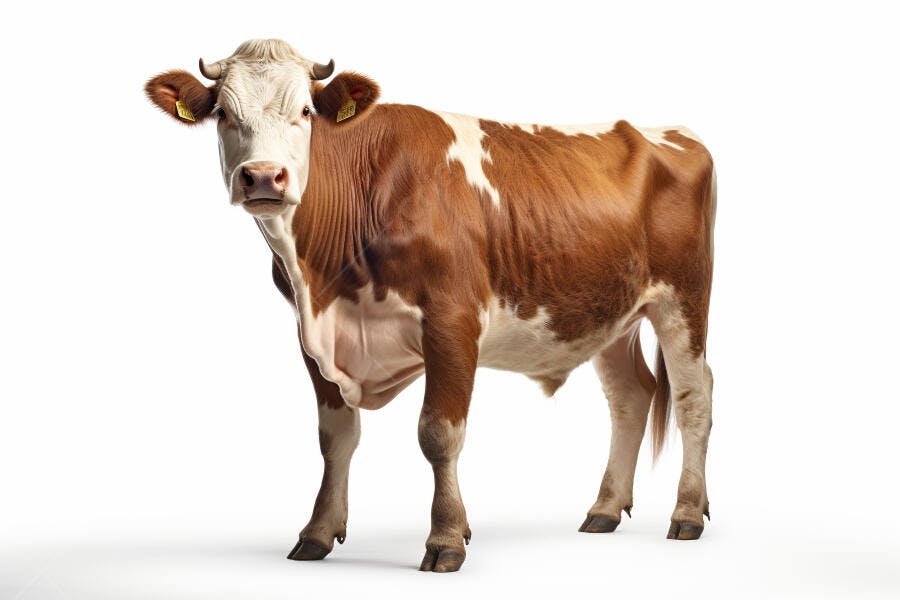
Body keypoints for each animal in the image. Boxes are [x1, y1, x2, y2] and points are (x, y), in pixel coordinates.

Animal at [145, 38, 716, 573]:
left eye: (305, 111)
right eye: (223, 113)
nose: (264, 176)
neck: (326, 280)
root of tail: (673, 132)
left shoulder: (452, 320)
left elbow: (438, 434)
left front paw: (445, 539)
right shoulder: (311, 336)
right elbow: (336, 438)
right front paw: (317, 533)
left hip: (683, 300)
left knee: (694, 396)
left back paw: (687, 512)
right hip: (607, 312)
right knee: (630, 396)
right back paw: (604, 508)